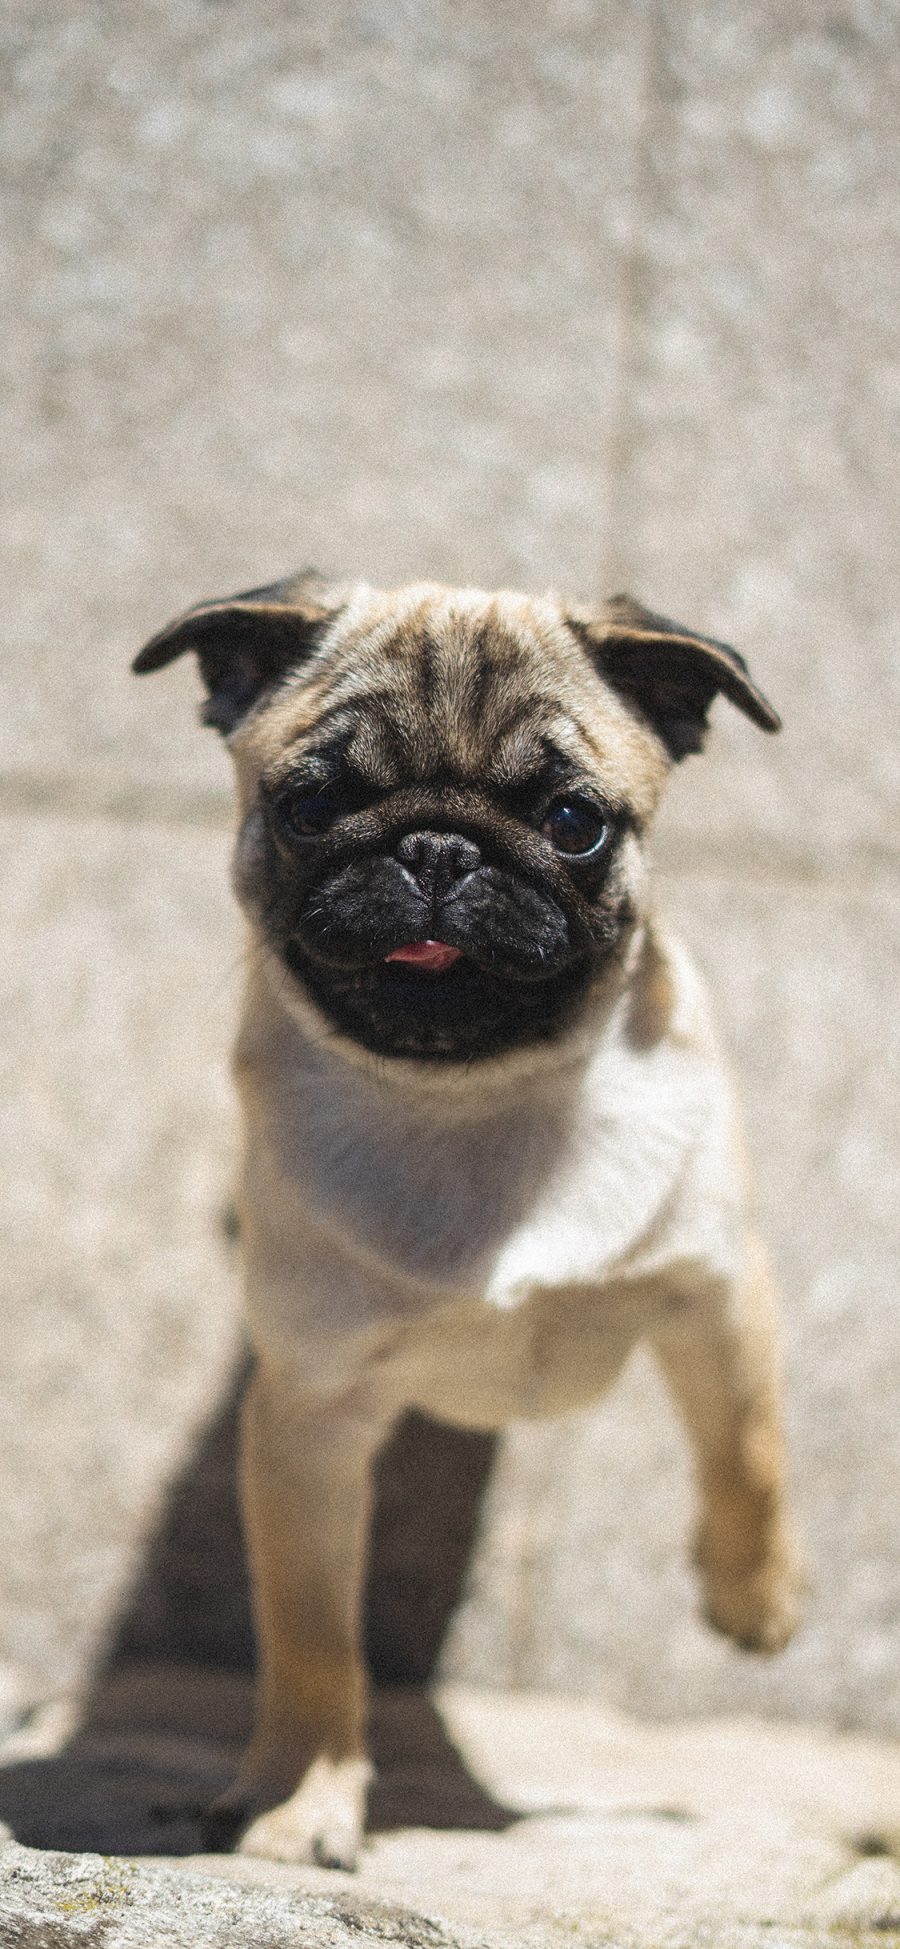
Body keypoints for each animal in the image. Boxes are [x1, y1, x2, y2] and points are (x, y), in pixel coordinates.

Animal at [131, 573, 802, 1871]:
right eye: (310, 805)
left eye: (574, 819)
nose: (436, 845)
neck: (479, 1099)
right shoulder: (311, 1418)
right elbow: (312, 1635)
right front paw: (301, 1794)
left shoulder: (714, 1285)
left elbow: (745, 1445)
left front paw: (756, 1600)